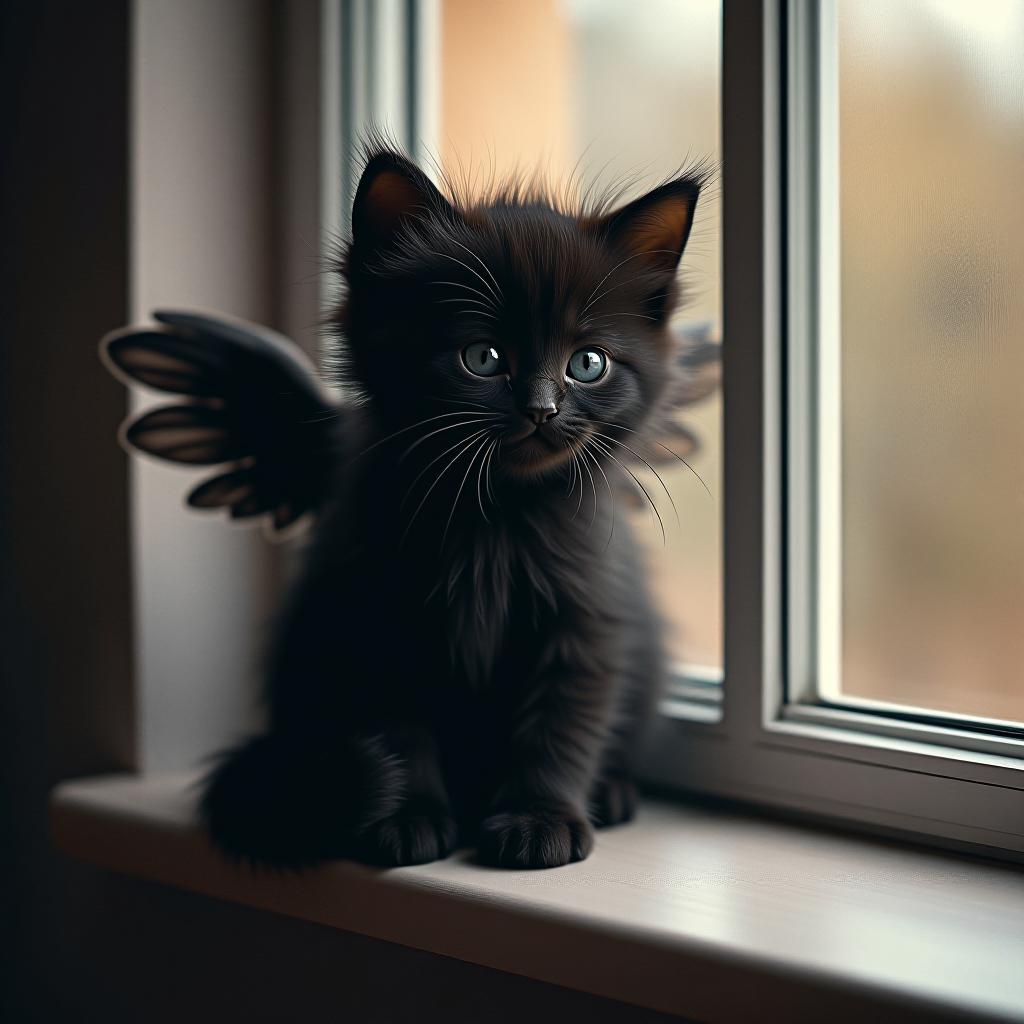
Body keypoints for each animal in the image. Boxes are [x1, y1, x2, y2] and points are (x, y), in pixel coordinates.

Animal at [191, 148, 700, 868]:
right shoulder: (375, 620)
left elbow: (561, 725)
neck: (495, 520)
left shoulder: (587, 621)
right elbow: (400, 729)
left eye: (588, 363)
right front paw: (408, 818)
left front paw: (540, 819)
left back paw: (614, 792)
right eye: (483, 357)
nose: (542, 409)